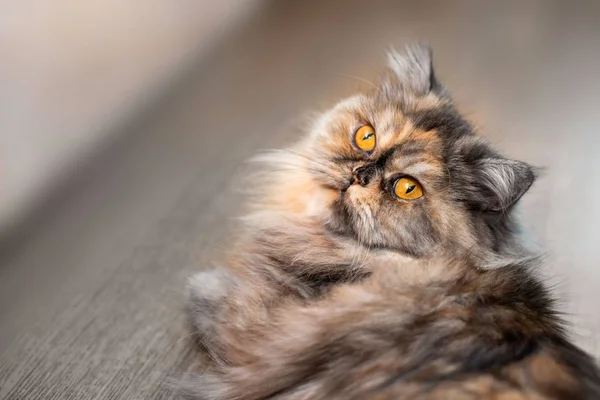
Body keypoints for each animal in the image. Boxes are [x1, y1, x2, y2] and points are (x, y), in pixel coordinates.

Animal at [180, 44, 600, 400]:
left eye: (406, 188)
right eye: (366, 138)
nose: (360, 173)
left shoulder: (259, 335)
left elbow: (212, 299)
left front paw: (201, 283)